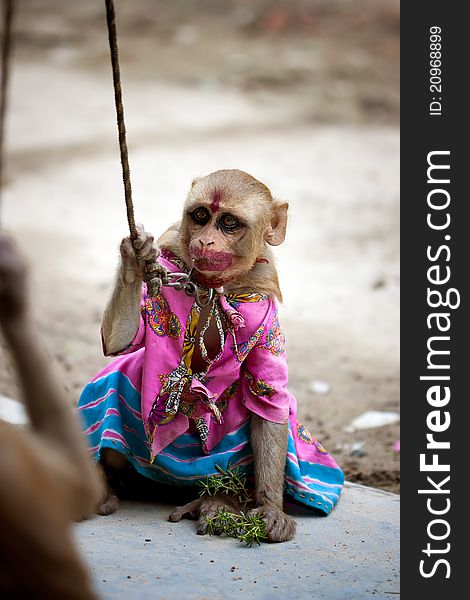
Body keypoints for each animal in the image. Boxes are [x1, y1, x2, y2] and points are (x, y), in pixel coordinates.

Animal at [80, 166, 346, 540]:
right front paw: (135, 254)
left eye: (229, 223)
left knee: (246, 398)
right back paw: (104, 486)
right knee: (118, 377)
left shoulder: (262, 301)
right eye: (201, 216)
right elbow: (123, 341)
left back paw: (217, 501)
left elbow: (269, 397)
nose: (205, 240)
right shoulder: (172, 260)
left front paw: (269, 507)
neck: (211, 289)